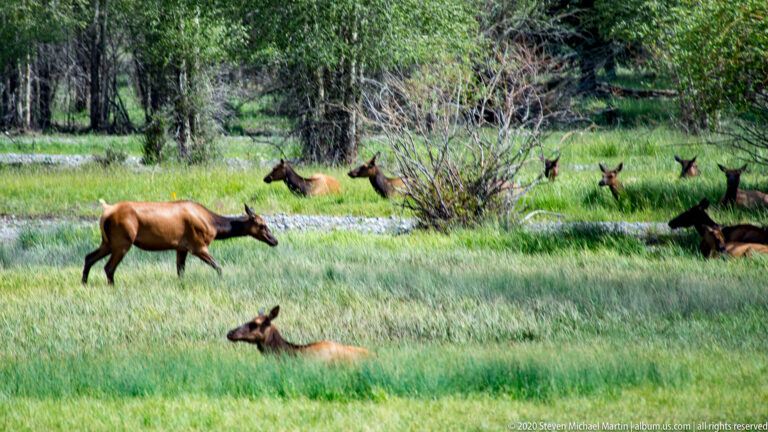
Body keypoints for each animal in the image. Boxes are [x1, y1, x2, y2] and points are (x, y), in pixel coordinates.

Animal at [82, 200, 278, 285]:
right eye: (262, 225)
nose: (274, 240)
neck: (215, 227)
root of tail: (105, 211)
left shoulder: (181, 248)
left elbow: (180, 271)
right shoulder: (198, 246)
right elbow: (219, 267)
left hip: (108, 242)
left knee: (88, 257)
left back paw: (84, 283)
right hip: (122, 241)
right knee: (109, 267)